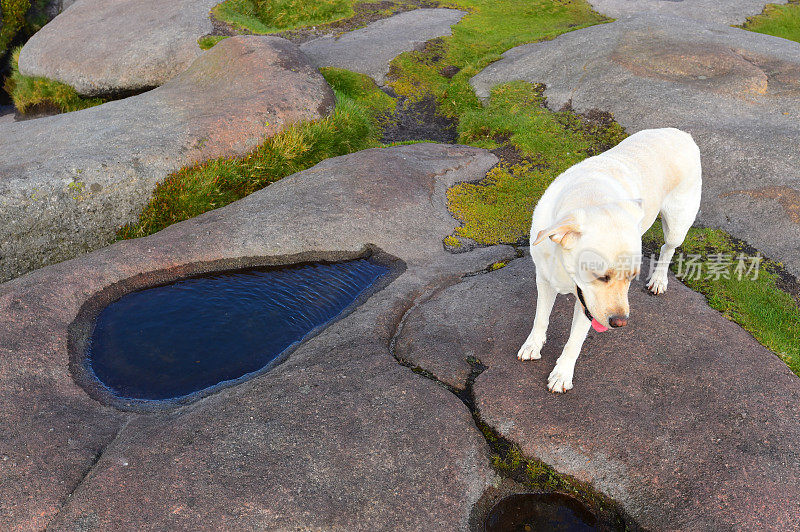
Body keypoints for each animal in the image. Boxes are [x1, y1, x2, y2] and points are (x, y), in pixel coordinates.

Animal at [520, 128, 700, 394]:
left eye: (632, 278)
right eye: (601, 277)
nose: (620, 323)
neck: (591, 196)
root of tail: (680, 132)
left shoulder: (588, 307)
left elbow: (574, 341)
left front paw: (562, 374)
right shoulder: (544, 278)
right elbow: (540, 317)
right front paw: (533, 345)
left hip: (678, 223)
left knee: (668, 248)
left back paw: (659, 279)